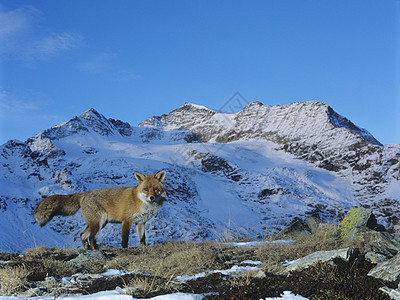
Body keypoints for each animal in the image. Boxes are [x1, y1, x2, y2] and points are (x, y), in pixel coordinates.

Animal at [33, 170, 166, 250]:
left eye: (155, 189)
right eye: (145, 189)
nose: (151, 197)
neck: (143, 204)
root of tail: (85, 194)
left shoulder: (141, 222)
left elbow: (142, 239)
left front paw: (143, 248)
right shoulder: (126, 221)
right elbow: (124, 239)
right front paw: (125, 250)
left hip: (100, 223)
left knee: (82, 235)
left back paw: (88, 249)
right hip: (98, 222)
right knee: (91, 237)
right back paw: (95, 249)